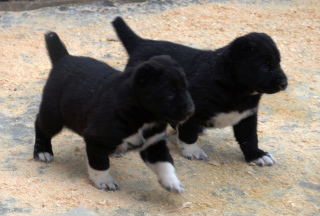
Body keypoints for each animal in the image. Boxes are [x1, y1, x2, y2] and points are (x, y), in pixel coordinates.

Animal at [35, 31, 195, 192]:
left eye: (186, 88)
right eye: (170, 93)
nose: (191, 110)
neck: (141, 116)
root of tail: (64, 58)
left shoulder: (154, 144)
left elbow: (165, 164)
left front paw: (173, 182)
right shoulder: (96, 140)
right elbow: (100, 165)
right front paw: (105, 181)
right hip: (53, 117)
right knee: (40, 126)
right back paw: (42, 151)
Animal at [112, 17, 288, 167]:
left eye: (278, 63)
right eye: (265, 66)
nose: (284, 83)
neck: (236, 87)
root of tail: (141, 43)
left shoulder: (247, 116)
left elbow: (249, 138)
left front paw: (257, 155)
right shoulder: (193, 109)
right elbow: (189, 134)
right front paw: (192, 151)